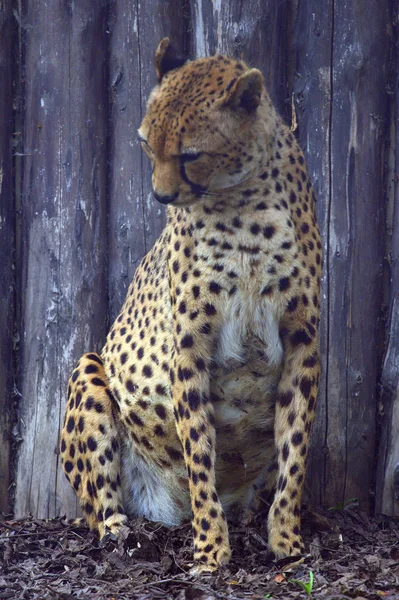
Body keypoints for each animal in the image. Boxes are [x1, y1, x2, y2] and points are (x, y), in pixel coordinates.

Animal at [60, 39, 322, 576]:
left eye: (191, 155)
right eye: (145, 143)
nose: (161, 194)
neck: (241, 200)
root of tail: (166, 512)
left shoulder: (303, 338)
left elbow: (295, 449)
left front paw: (286, 538)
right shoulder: (189, 346)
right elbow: (199, 450)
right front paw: (210, 549)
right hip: (89, 370)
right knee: (100, 509)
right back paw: (124, 535)